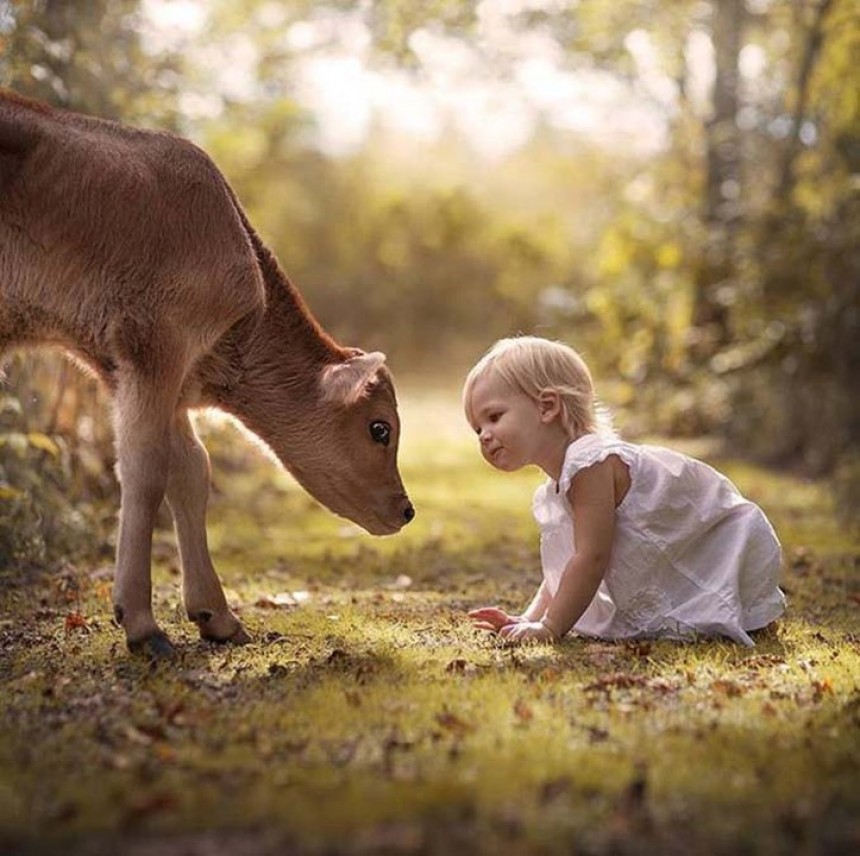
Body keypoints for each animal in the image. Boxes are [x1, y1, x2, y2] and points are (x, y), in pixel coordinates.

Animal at [0, 88, 416, 656]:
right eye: (380, 428)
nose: (406, 510)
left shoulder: (142, 374)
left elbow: (192, 470)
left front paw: (216, 616)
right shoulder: (156, 345)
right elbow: (147, 468)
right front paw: (142, 624)